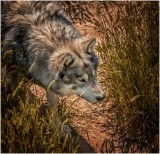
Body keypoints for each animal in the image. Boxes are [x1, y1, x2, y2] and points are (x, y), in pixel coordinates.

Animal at [1, 1, 105, 133]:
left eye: (94, 74)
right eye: (82, 80)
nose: (102, 97)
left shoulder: (50, 83)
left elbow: (53, 108)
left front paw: (58, 128)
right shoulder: (13, 75)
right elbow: (22, 98)